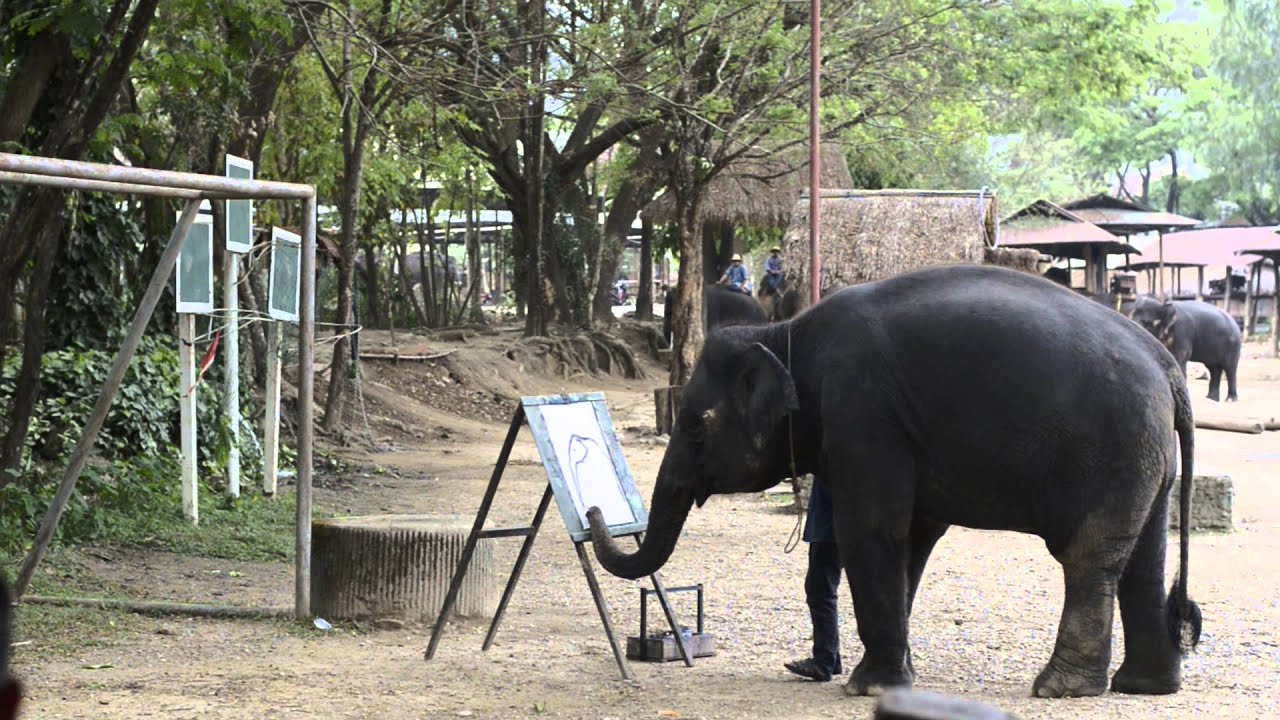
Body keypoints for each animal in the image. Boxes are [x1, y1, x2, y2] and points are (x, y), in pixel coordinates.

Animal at [588, 264, 1201, 699]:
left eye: (695, 425)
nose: (594, 512)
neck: (784, 332)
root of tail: (1168, 367)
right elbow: (913, 540)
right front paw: (891, 675)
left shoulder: (862, 411)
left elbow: (873, 531)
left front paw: (867, 687)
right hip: (1149, 460)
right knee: (1143, 559)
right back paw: (1144, 686)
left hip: (1115, 450)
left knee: (1088, 557)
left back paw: (1060, 689)